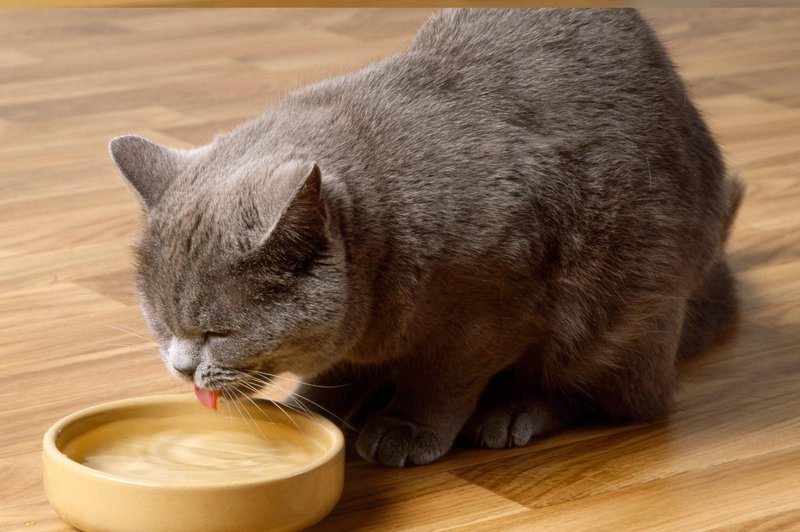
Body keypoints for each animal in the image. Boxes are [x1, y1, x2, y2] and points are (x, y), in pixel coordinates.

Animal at [109, 7, 740, 466]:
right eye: (160, 324)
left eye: (217, 332)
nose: (181, 368)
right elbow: (344, 366)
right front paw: (313, 407)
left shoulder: (490, 310)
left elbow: (442, 377)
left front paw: (406, 428)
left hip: (621, 316)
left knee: (614, 396)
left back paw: (514, 411)